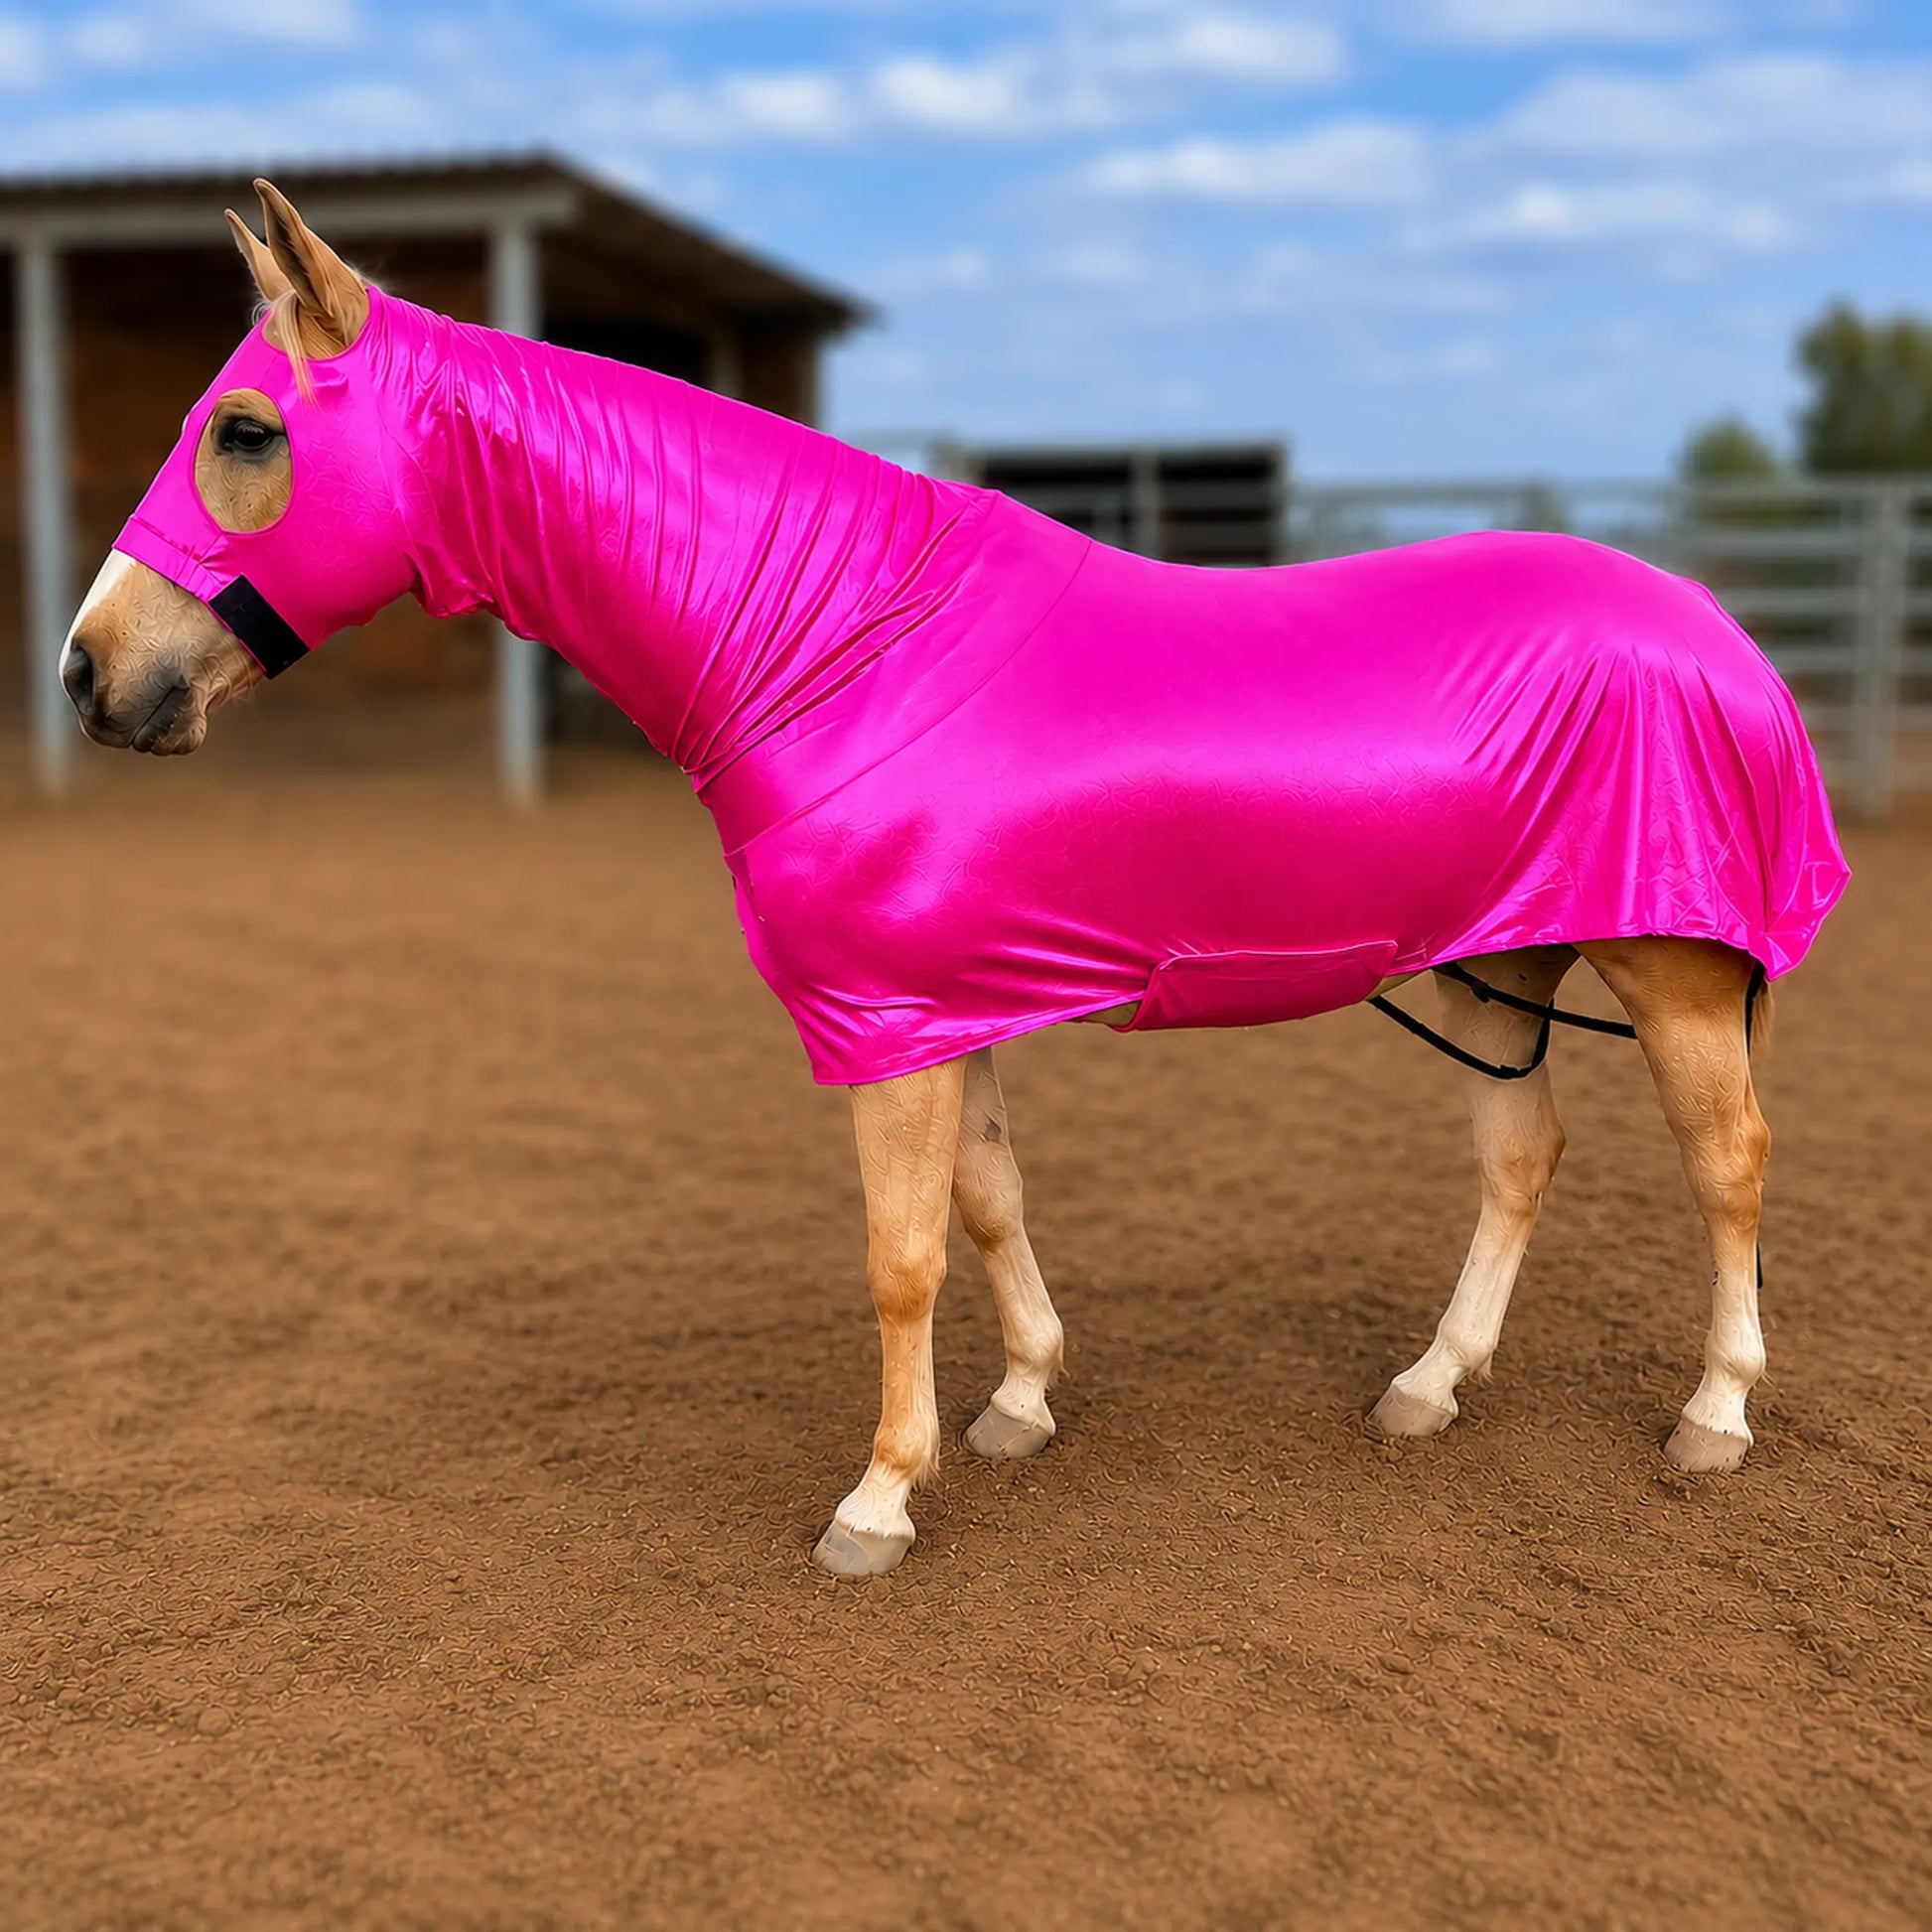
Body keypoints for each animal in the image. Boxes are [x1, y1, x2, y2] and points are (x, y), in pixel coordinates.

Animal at [61, 181, 1848, 1577]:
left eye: (244, 430)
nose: (89, 676)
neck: (837, 649)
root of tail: (1719, 632)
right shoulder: (936, 1012)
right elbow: (989, 1206)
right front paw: (1020, 1405)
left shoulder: (890, 1028)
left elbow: (901, 1255)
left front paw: (877, 1500)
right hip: (1494, 968)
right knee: (1518, 1155)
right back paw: (1428, 1385)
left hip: (1669, 975)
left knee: (1730, 1167)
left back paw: (1710, 1415)